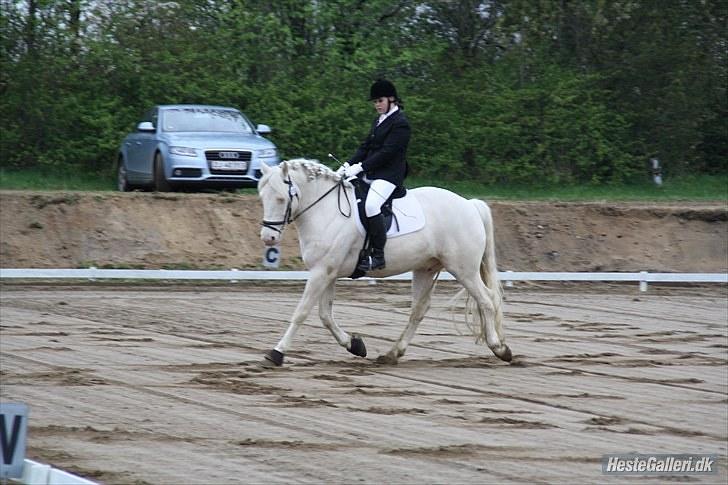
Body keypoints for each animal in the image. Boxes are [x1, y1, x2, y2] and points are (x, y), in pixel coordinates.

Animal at [258, 161, 512, 364]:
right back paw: (392, 354)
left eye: (281, 198)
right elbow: (325, 316)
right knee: (419, 310)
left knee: (487, 300)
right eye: (262, 198)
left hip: (463, 269)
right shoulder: (326, 272)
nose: (268, 238)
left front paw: (277, 353)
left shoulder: (322, 272)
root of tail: (470, 205)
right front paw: (355, 345)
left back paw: (500, 349)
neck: (326, 210)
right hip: (426, 268)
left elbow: (301, 312)